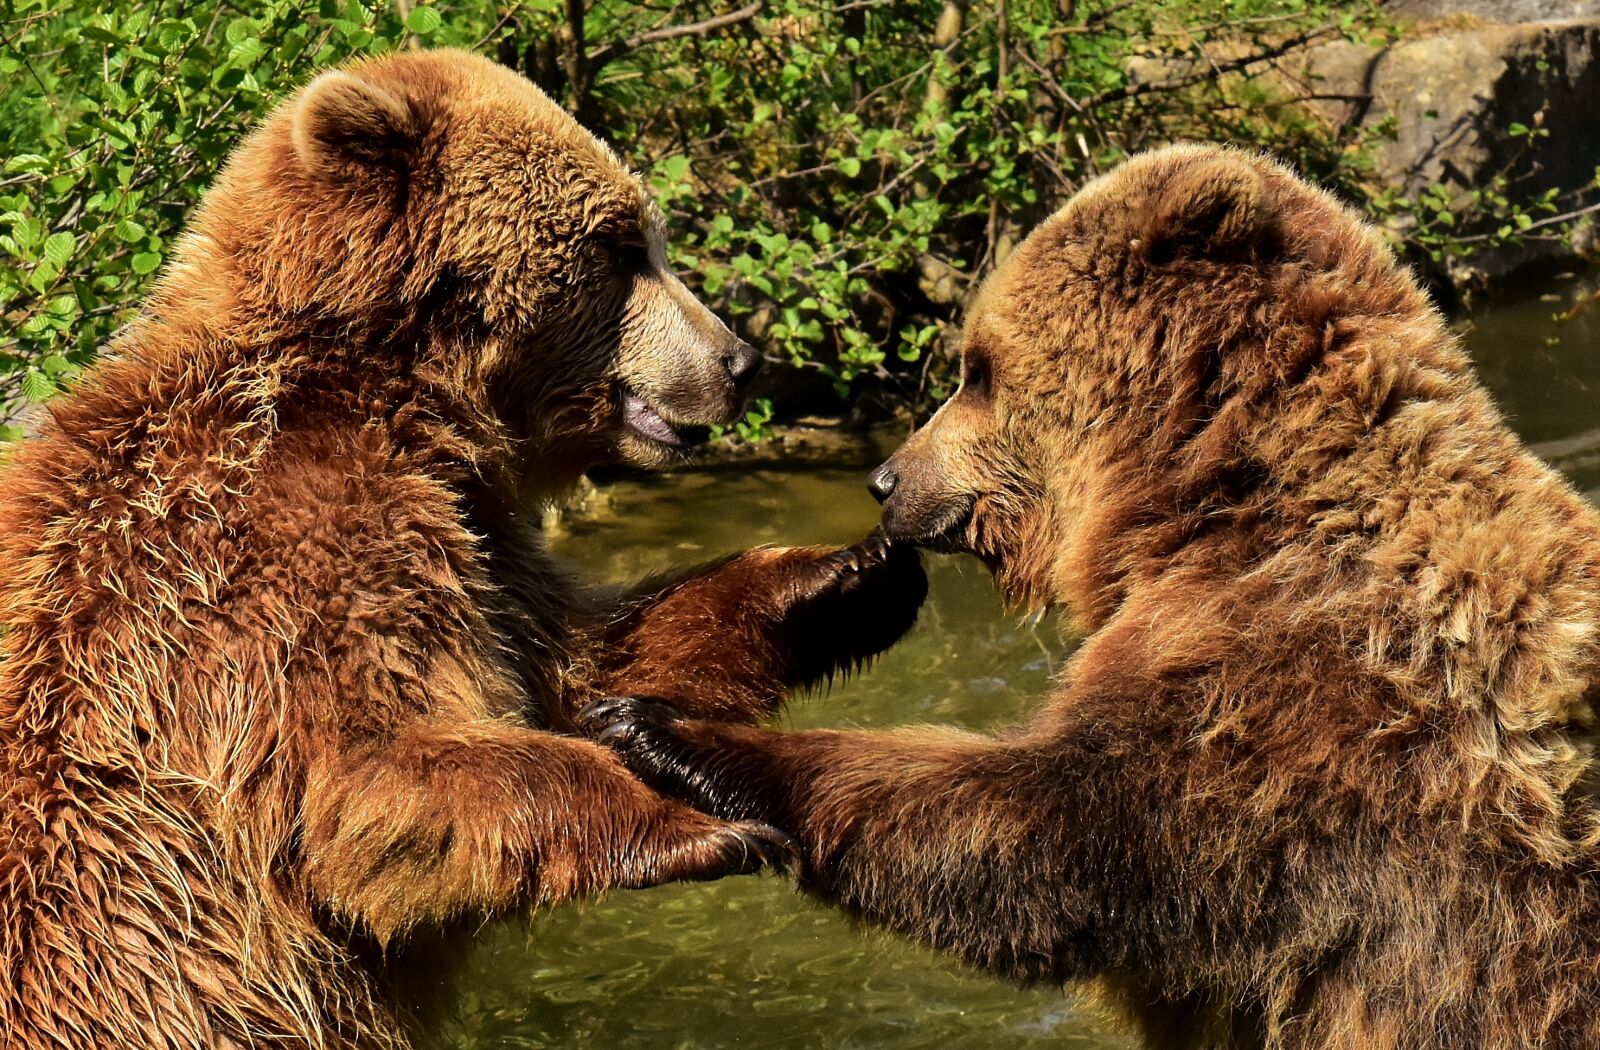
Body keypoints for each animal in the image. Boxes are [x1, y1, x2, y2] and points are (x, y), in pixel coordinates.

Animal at [0, 49, 925, 1050]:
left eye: (650, 237)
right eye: (622, 245)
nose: (740, 360)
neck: (395, 392)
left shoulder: (478, 541)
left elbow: (584, 663)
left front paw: (851, 576)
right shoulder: (267, 562)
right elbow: (368, 777)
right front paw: (706, 827)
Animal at [589, 144, 1600, 1049]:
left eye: (977, 368)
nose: (886, 480)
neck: (1218, 495)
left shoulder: (1302, 693)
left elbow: (1048, 833)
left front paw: (662, 728)